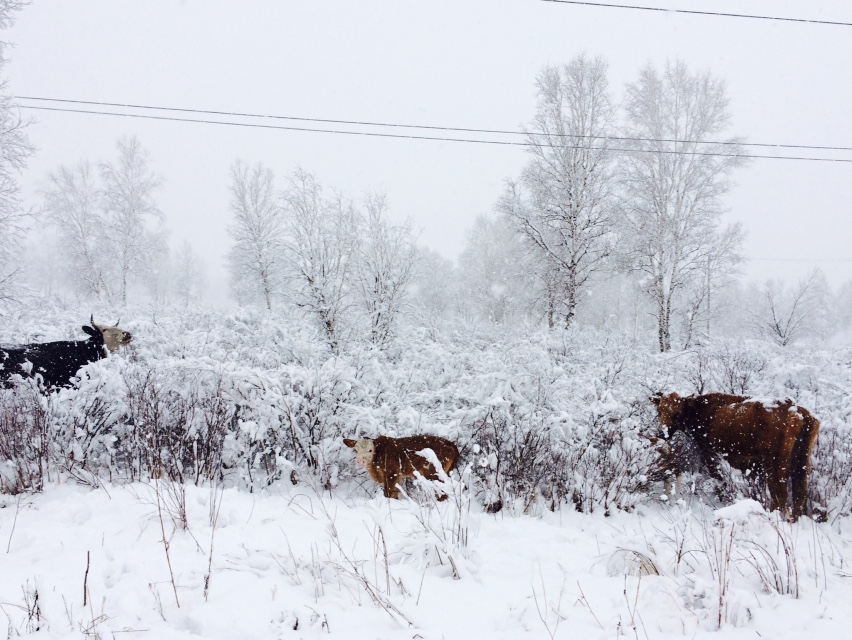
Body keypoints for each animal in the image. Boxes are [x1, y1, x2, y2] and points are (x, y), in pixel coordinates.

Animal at [652, 390, 820, 520]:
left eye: (676, 413)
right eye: (659, 411)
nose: (662, 433)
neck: (701, 410)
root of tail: (797, 411)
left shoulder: (709, 453)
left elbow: (720, 479)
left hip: (775, 466)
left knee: (780, 495)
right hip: (801, 466)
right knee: (799, 494)